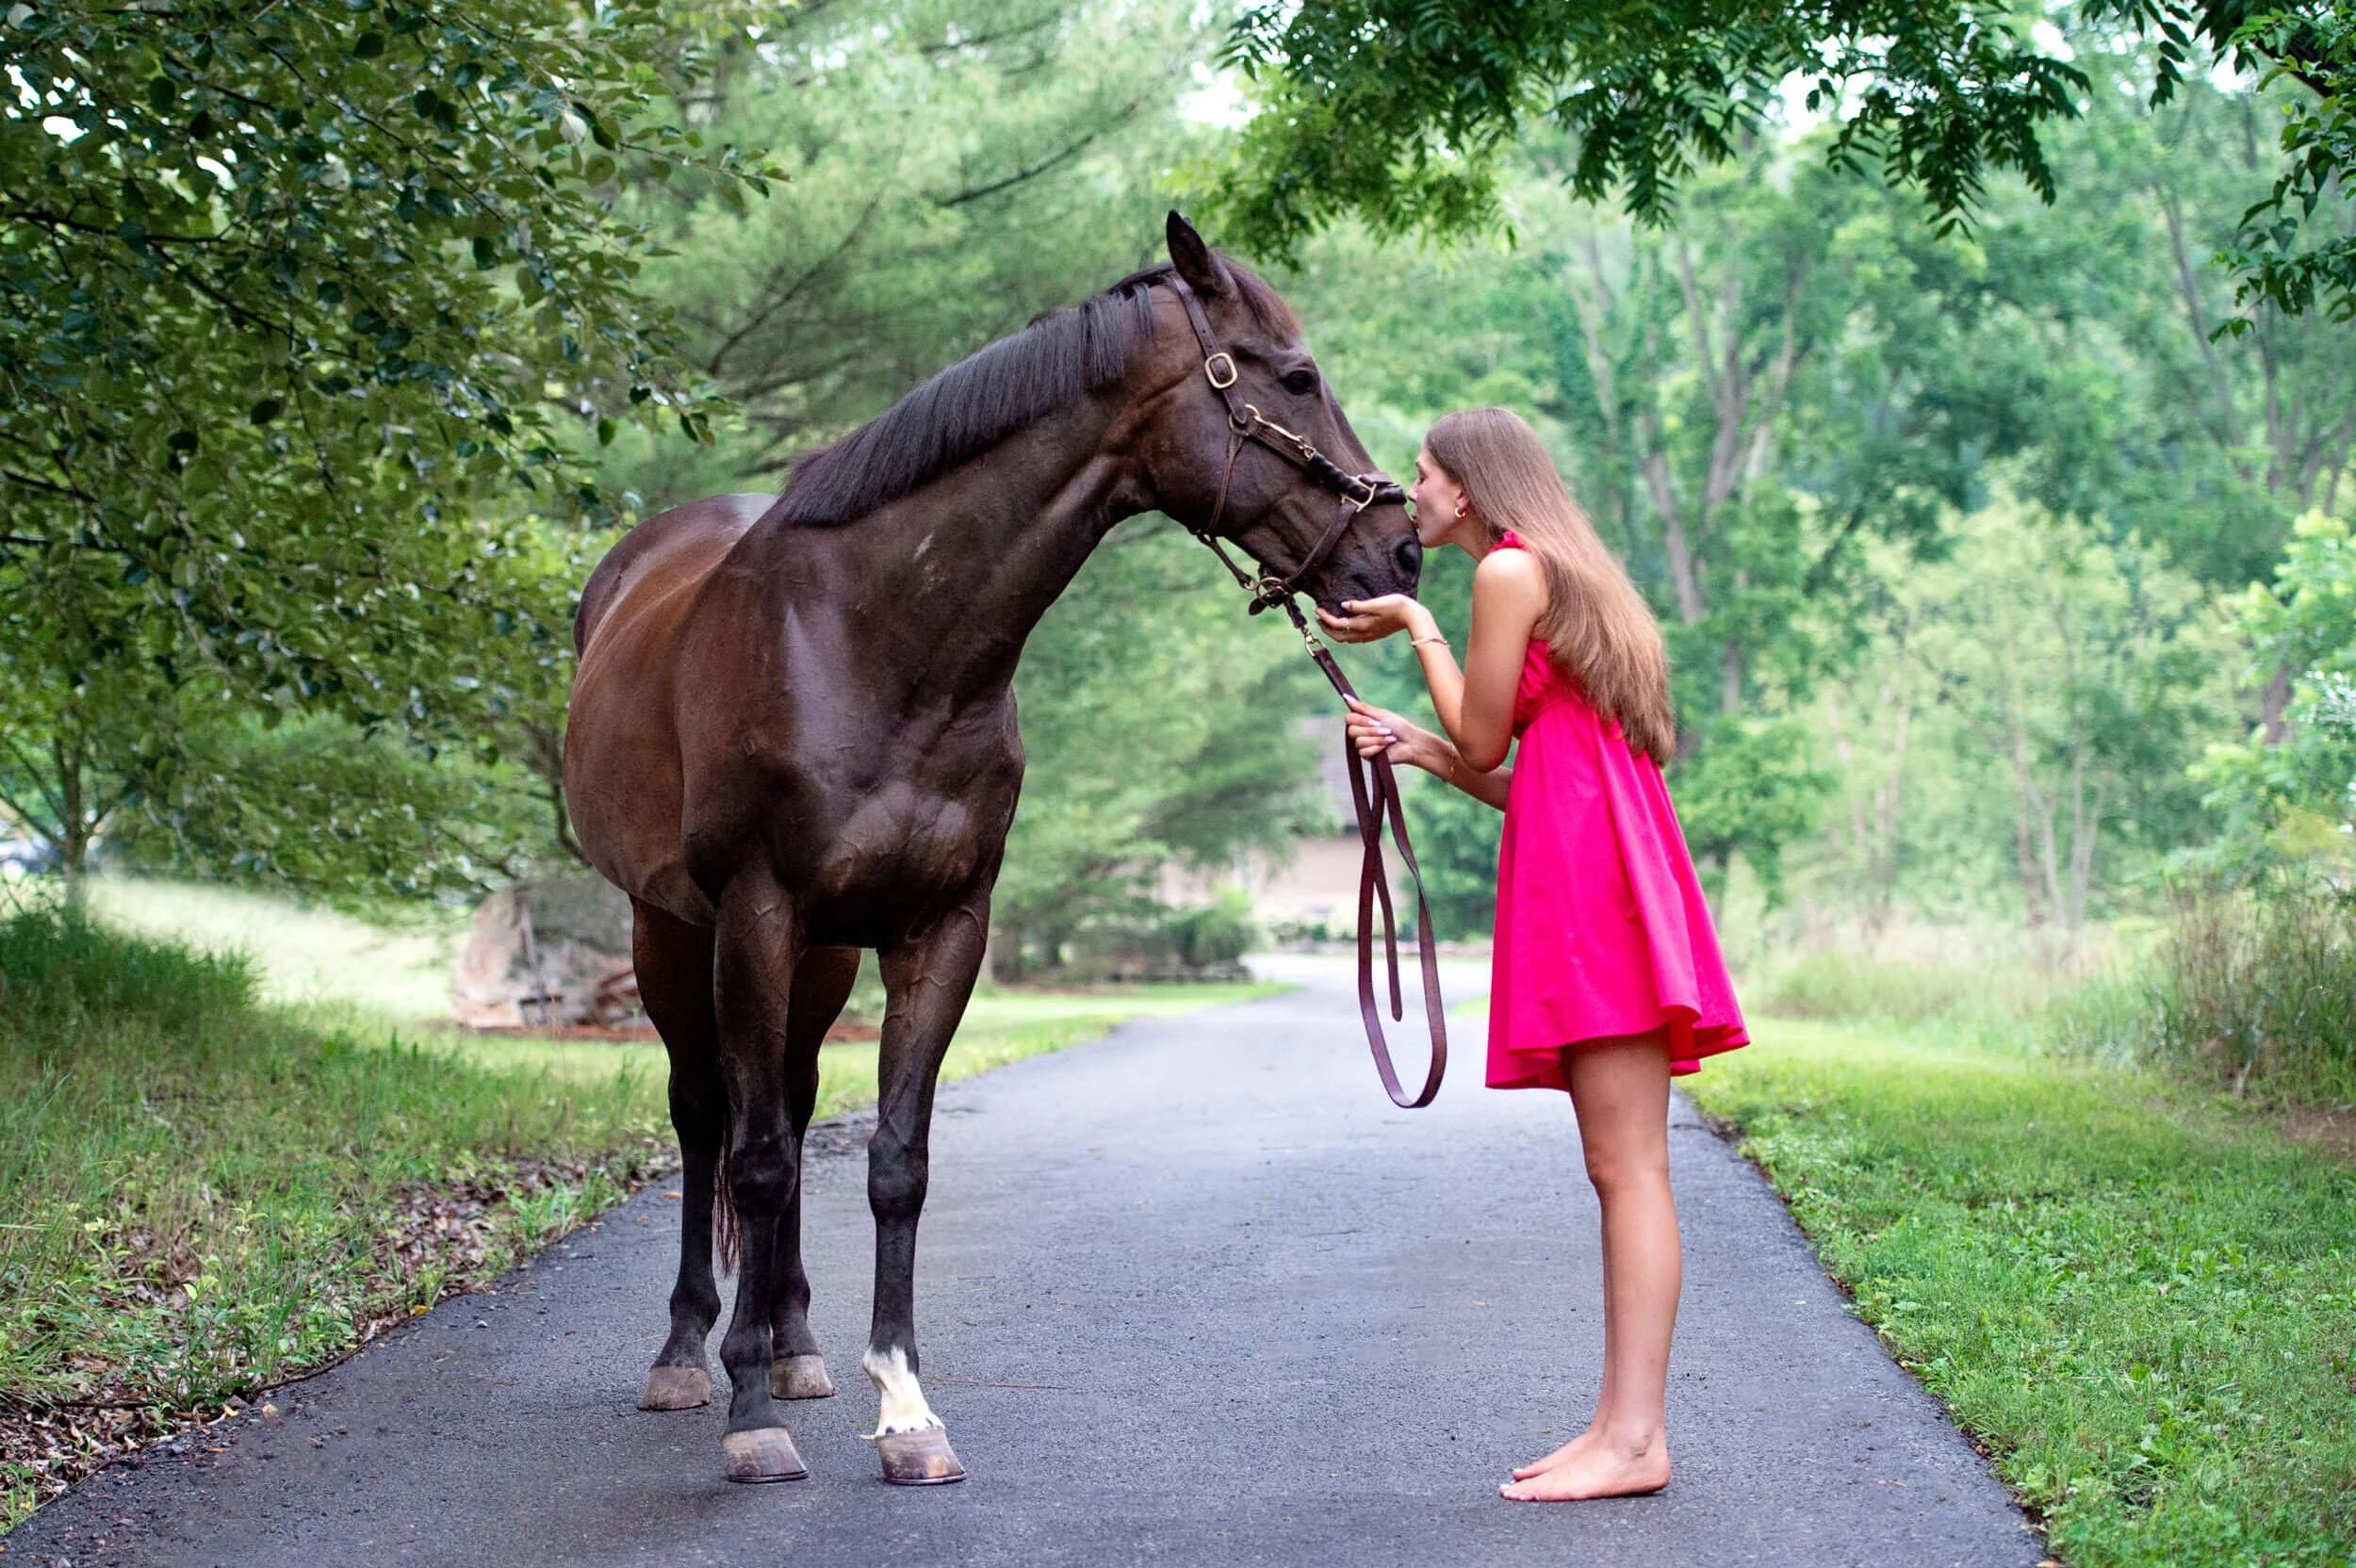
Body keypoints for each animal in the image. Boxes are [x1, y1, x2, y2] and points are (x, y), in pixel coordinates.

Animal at [563, 213, 1422, 1487]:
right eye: (1297, 377)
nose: (1402, 549)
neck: (874, 638)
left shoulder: (941, 926)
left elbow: (893, 1161)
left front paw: (904, 1407)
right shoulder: (755, 913)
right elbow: (753, 1160)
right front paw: (750, 1415)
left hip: (821, 956)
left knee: (794, 1106)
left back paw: (796, 1343)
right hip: (673, 931)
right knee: (710, 1118)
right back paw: (691, 1353)